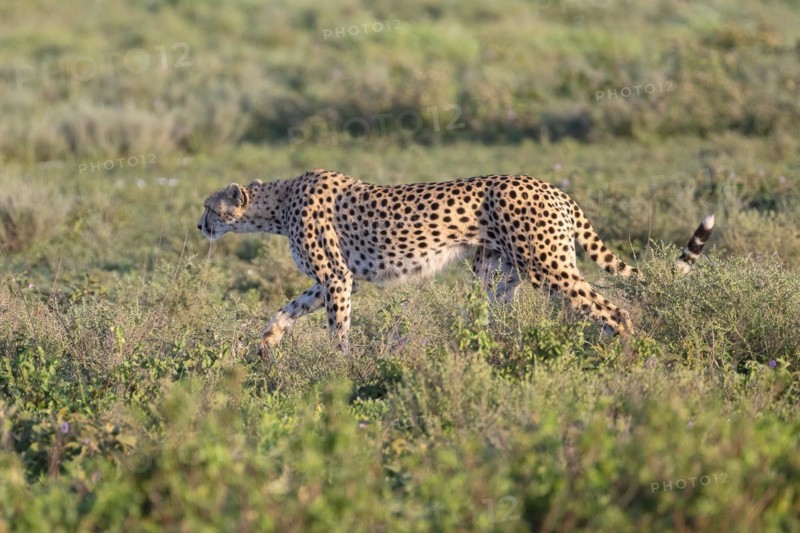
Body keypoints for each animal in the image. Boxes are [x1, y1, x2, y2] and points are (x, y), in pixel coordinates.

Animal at [198, 168, 714, 351]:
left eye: (208, 206)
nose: (200, 226)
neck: (277, 204)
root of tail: (551, 186)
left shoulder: (338, 278)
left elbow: (336, 328)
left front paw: (338, 367)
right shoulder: (337, 279)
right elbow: (286, 309)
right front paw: (266, 343)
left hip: (547, 267)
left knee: (612, 309)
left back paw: (634, 360)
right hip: (496, 274)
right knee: (499, 321)